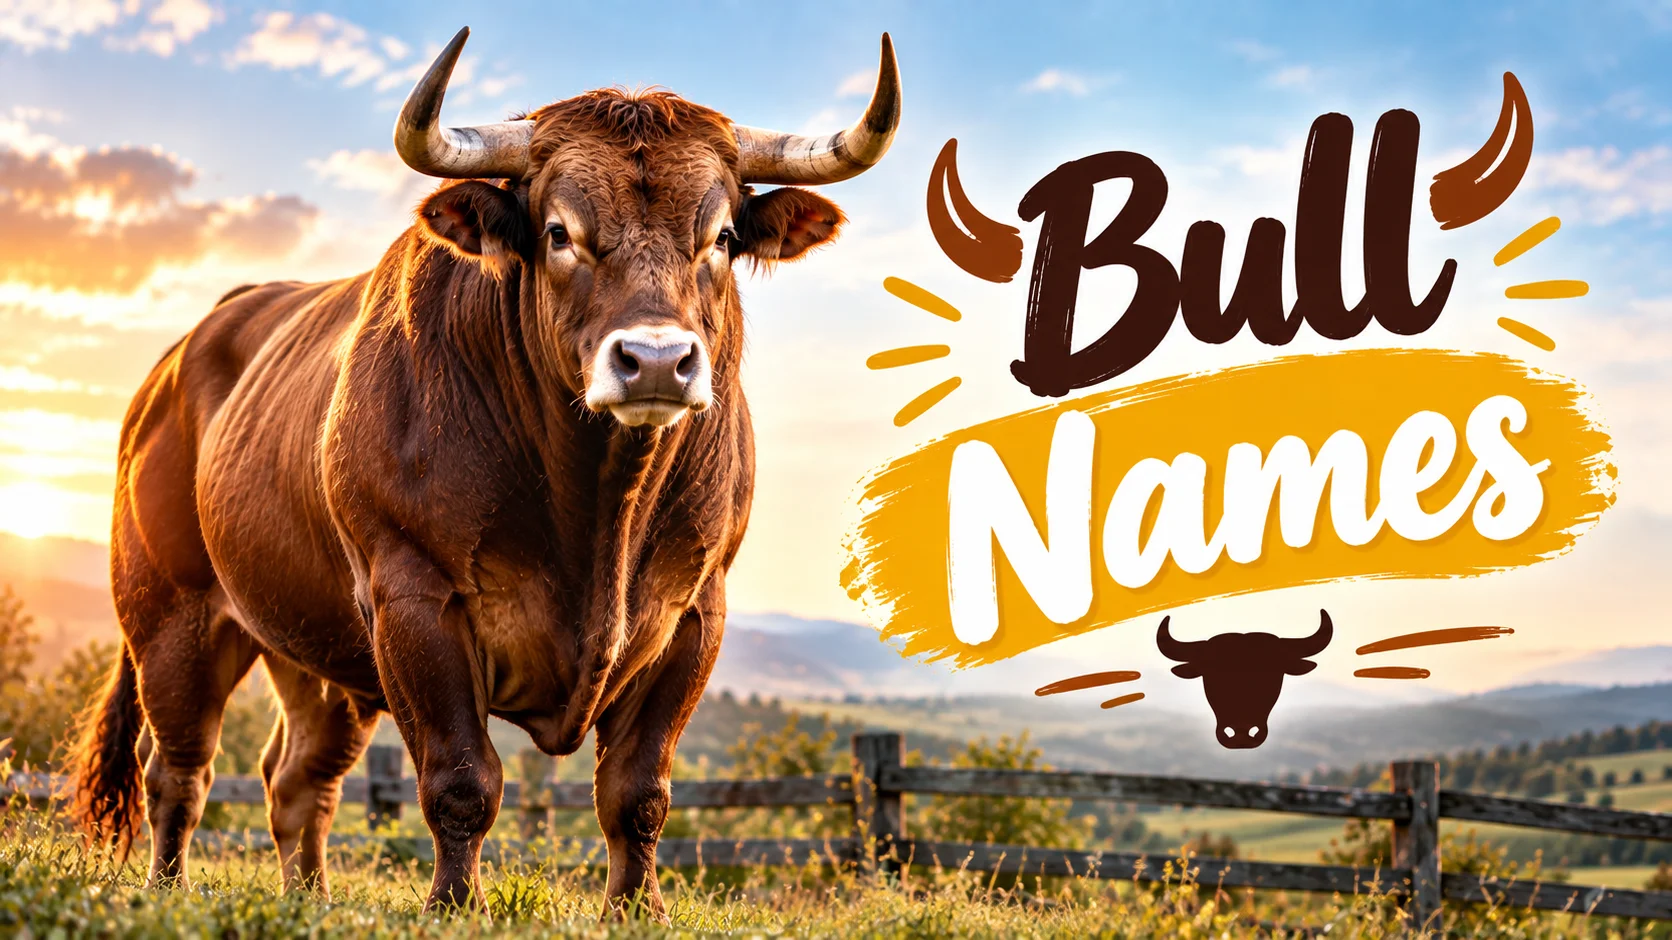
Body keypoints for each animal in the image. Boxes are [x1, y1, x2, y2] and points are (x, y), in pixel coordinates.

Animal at [67, 26, 901, 918]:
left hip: (311, 646)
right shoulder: (412, 596)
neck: (600, 510)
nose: (654, 361)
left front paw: (636, 909)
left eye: (720, 238)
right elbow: (462, 780)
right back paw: (167, 888)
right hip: (171, 615)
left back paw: (309, 900)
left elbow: (637, 793)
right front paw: (454, 905)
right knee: (178, 769)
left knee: (296, 779)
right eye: (559, 231)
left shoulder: (693, 609)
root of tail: (183, 355)